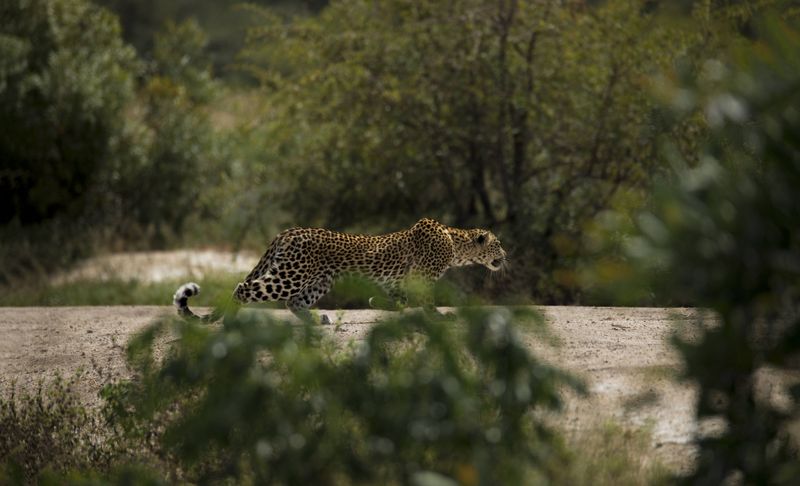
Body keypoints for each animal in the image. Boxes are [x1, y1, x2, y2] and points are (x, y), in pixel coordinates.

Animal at [173, 218, 507, 324]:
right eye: (499, 244)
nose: (505, 256)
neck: (457, 244)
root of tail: (287, 232)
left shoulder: (399, 281)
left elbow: (398, 301)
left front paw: (377, 303)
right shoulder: (422, 277)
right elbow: (424, 301)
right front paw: (439, 316)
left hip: (320, 280)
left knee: (293, 302)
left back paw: (316, 320)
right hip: (291, 274)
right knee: (244, 288)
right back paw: (230, 319)